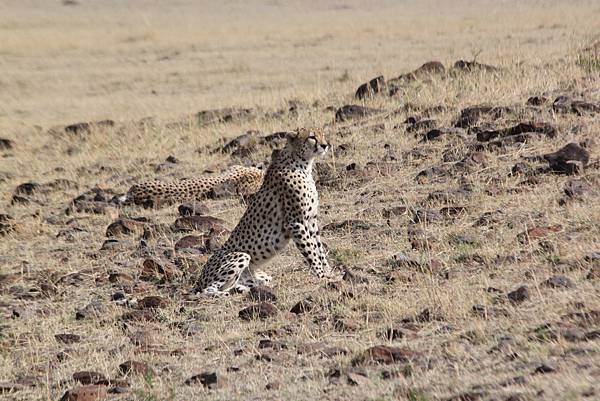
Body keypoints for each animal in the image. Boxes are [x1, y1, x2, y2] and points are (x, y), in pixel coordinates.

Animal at [197, 126, 336, 296]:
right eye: (312, 137)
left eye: (323, 135)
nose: (325, 145)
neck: (302, 163)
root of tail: (198, 280)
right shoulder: (295, 223)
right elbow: (311, 251)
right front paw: (321, 275)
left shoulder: (311, 221)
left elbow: (319, 248)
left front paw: (328, 271)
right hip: (241, 256)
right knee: (207, 290)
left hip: (255, 274)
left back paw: (243, 288)